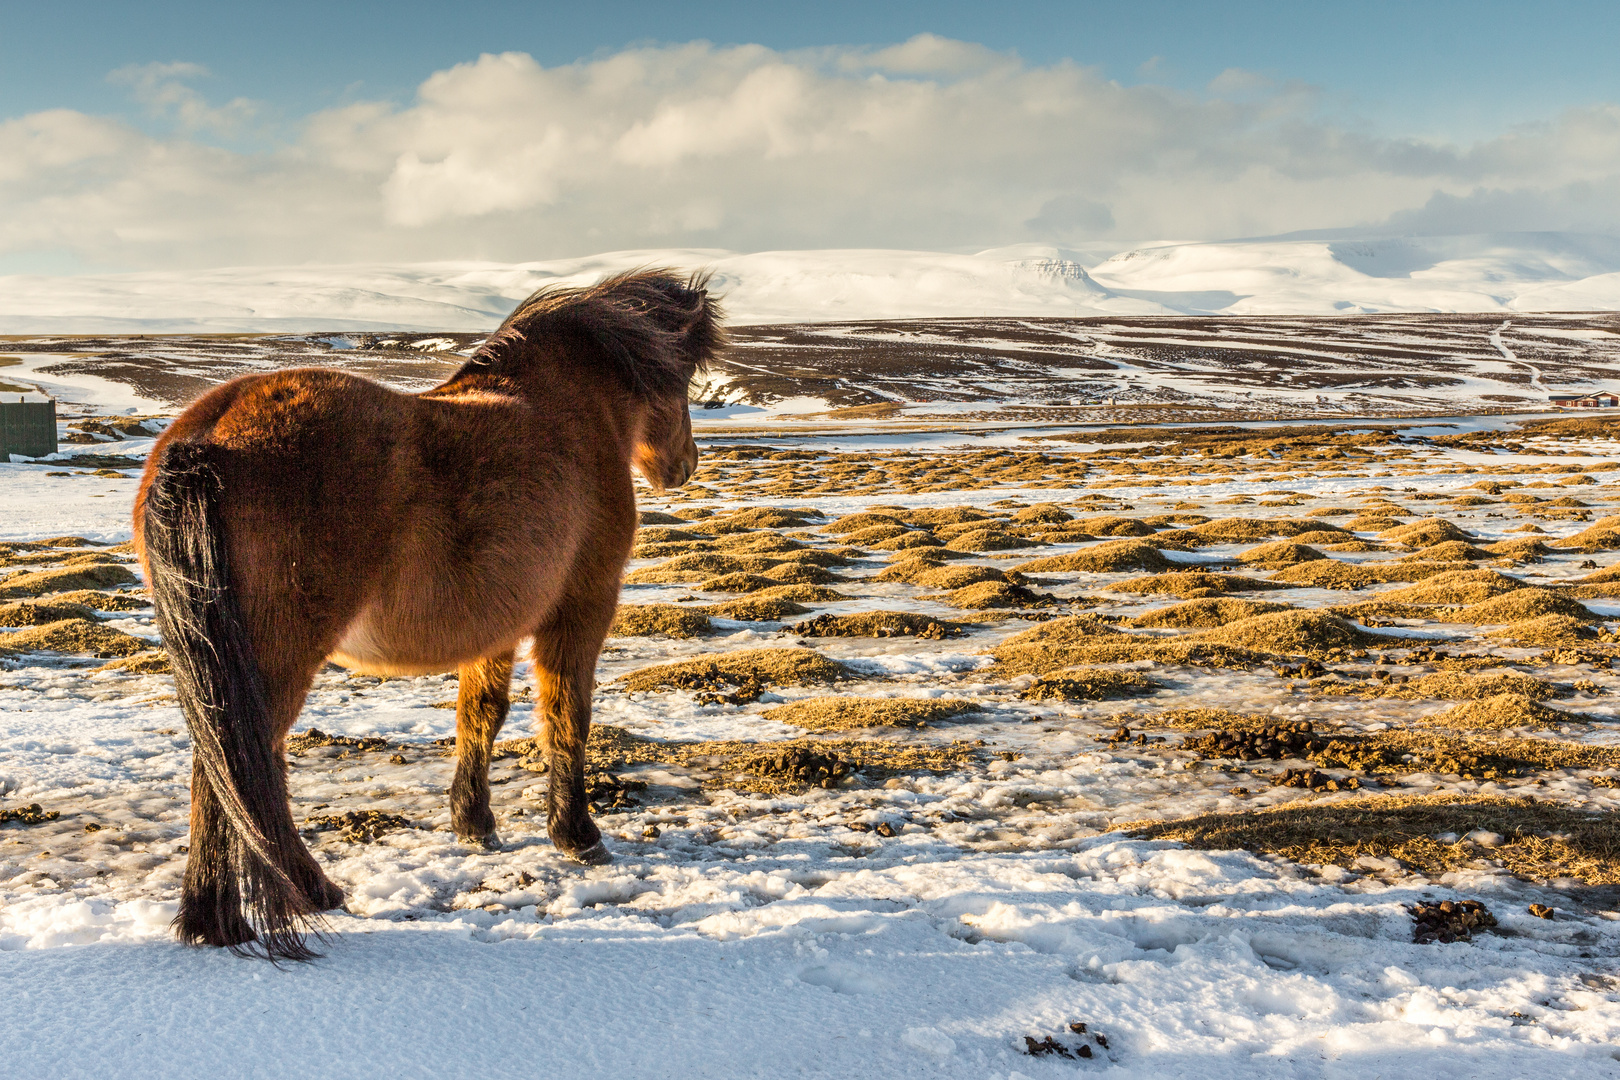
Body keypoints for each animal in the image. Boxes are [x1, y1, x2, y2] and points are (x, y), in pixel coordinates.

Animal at [136, 270, 719, 965]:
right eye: (683, 382)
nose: (684, 465)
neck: (573, 407)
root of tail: (206, 436)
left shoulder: (495, 624)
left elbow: (480, 716)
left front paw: (473, 824)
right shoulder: (580, 608)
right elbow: (567, 718)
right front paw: (577, 835)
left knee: (225, 766)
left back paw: (216, 916)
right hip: (273, 661)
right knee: (238, 768)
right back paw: (281, 899)